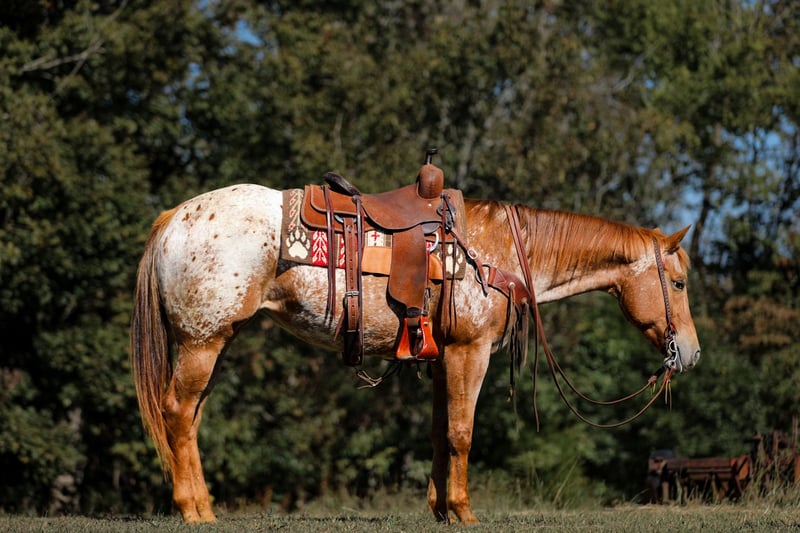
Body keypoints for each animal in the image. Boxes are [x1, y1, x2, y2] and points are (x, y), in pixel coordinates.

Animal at [130, 183, 701, 524]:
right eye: (678, 282)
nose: (691, 353)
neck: (497, 253)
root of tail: (174, 218)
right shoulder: (470, 351)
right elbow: (461, 433)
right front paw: (465, 512)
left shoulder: (443, 357)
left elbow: (438, 433)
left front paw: (440, 509)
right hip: (202, 342)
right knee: (177, 412)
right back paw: (194, 511)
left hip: (212, 342)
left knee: (189, 419)